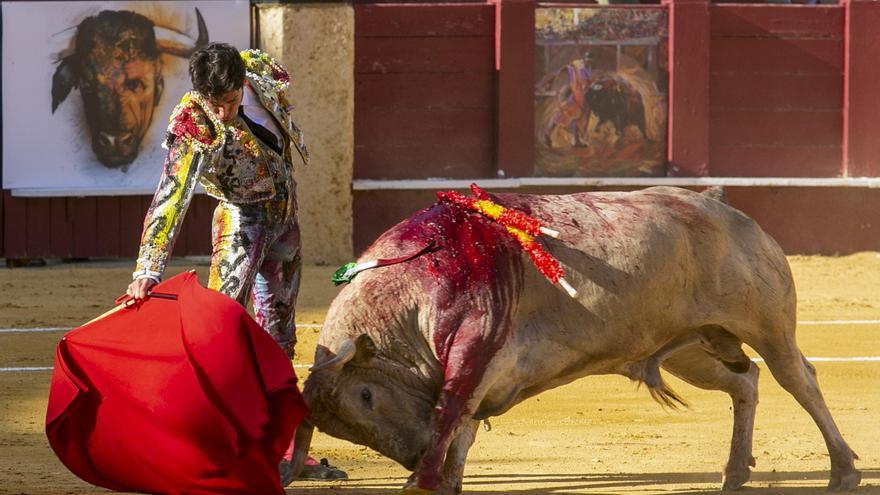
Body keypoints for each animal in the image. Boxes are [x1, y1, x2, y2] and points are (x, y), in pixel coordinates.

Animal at [300, 187, 860, 495]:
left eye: (366, 395)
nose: (414, 459)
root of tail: (720, 205)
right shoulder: (479, 367)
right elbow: (462, 428)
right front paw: (444, 481)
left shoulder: (473, 349)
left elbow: (450, 415)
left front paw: (422, 483)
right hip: (692, 350)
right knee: (746, 382)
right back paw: (736, 472)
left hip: (767, 326)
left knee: (800, 380)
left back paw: (842, 469)